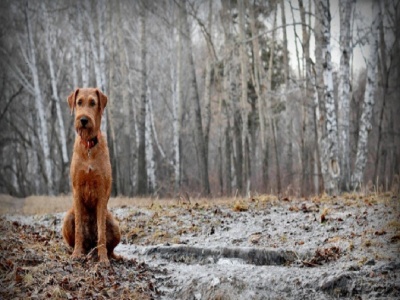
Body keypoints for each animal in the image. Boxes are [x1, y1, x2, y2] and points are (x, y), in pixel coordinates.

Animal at [62, 87, 120, 264]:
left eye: (93, 103)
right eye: (79, 102)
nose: (83, 119)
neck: (88, 146)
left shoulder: (101, 192)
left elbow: (101, 232)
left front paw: (103, 259)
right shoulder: (77, 190)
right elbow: (79, 230)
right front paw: (76, 254)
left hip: (114, 224)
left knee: (109, 247)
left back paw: (102, 255)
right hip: (68, 217)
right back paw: (80, 251)